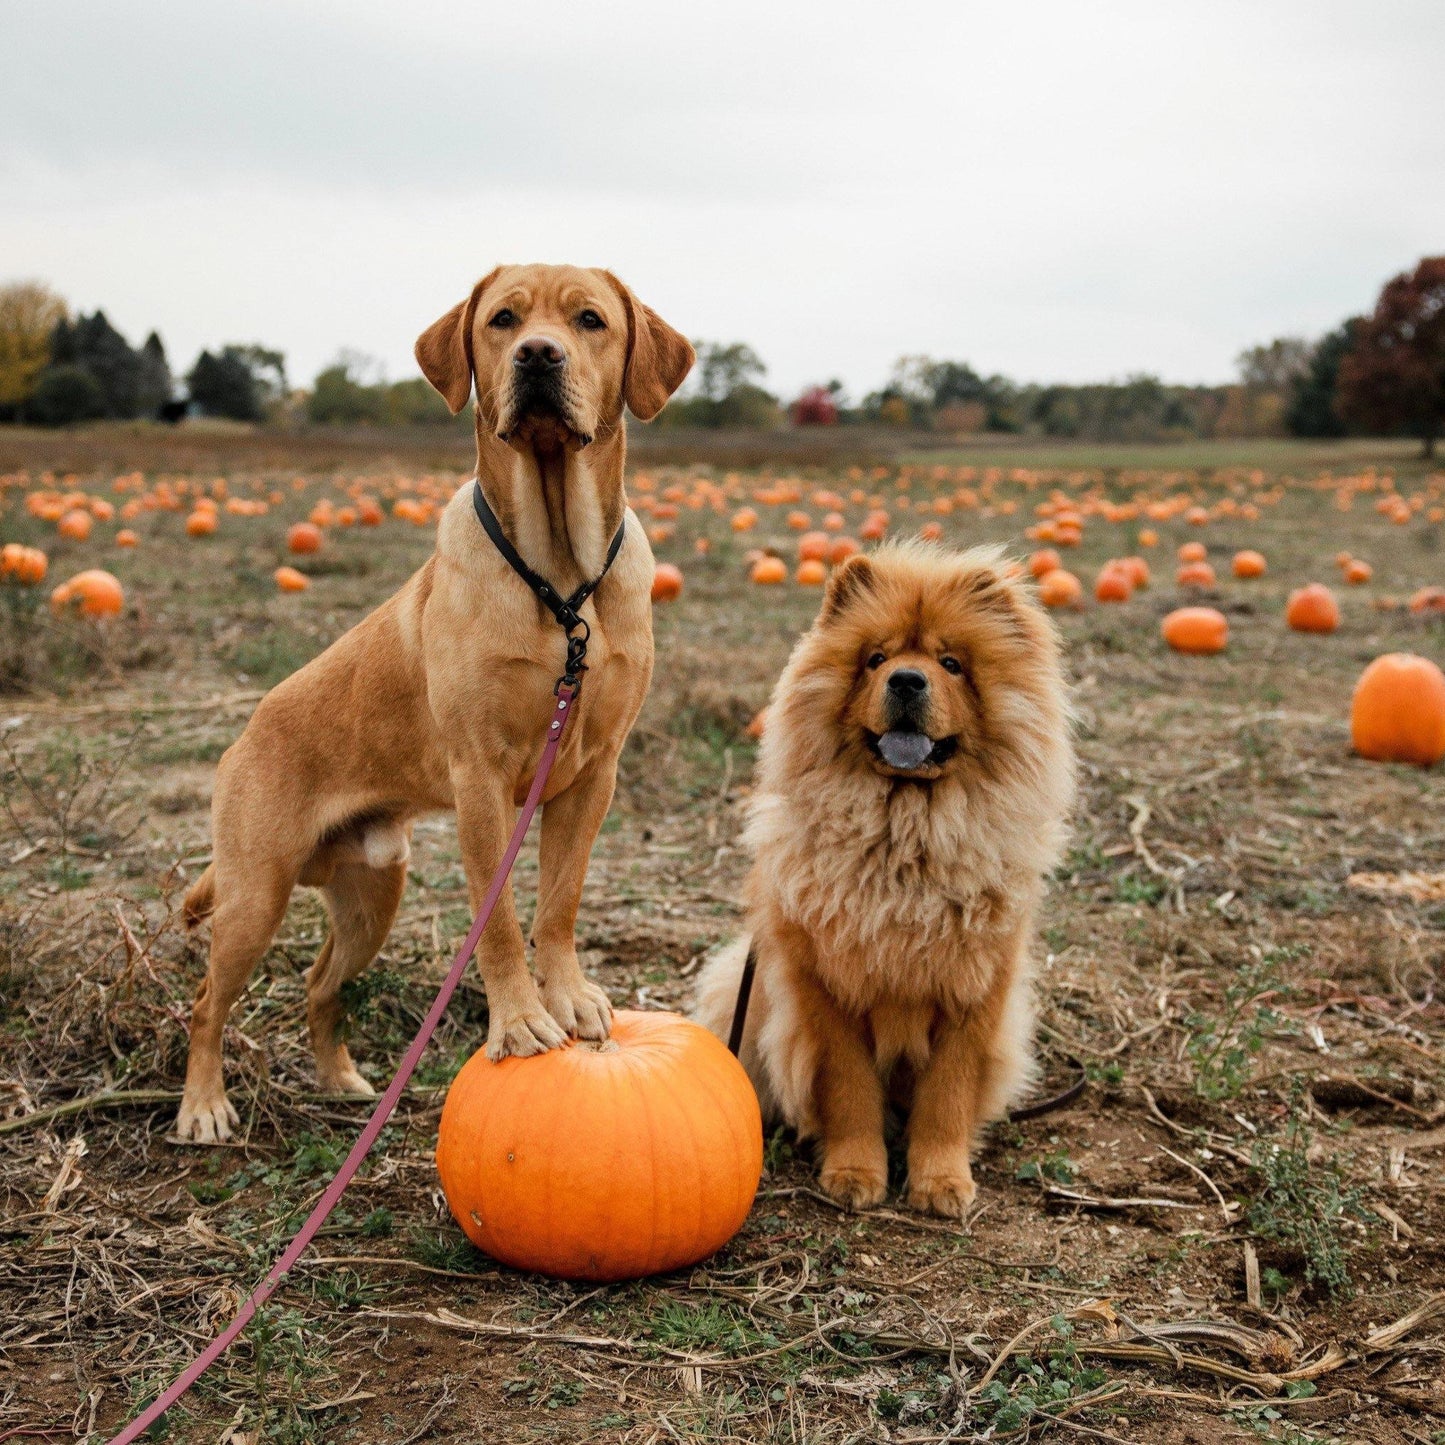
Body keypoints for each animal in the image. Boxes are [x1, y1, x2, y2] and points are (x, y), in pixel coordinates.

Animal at [174, 262, 693, 1138]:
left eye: (589, 320)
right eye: (503, 320)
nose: (538, 356)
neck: (561, 580)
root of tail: (245, 731)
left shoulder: (594, 774)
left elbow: (558, 901)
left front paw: (570, 999)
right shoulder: (481, 778)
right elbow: (502, 920)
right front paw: (520, 1022)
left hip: (373, 893)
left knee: (319, 983)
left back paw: (341, 1080)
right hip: (255, 894)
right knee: (209, 998)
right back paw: (204, 1105)